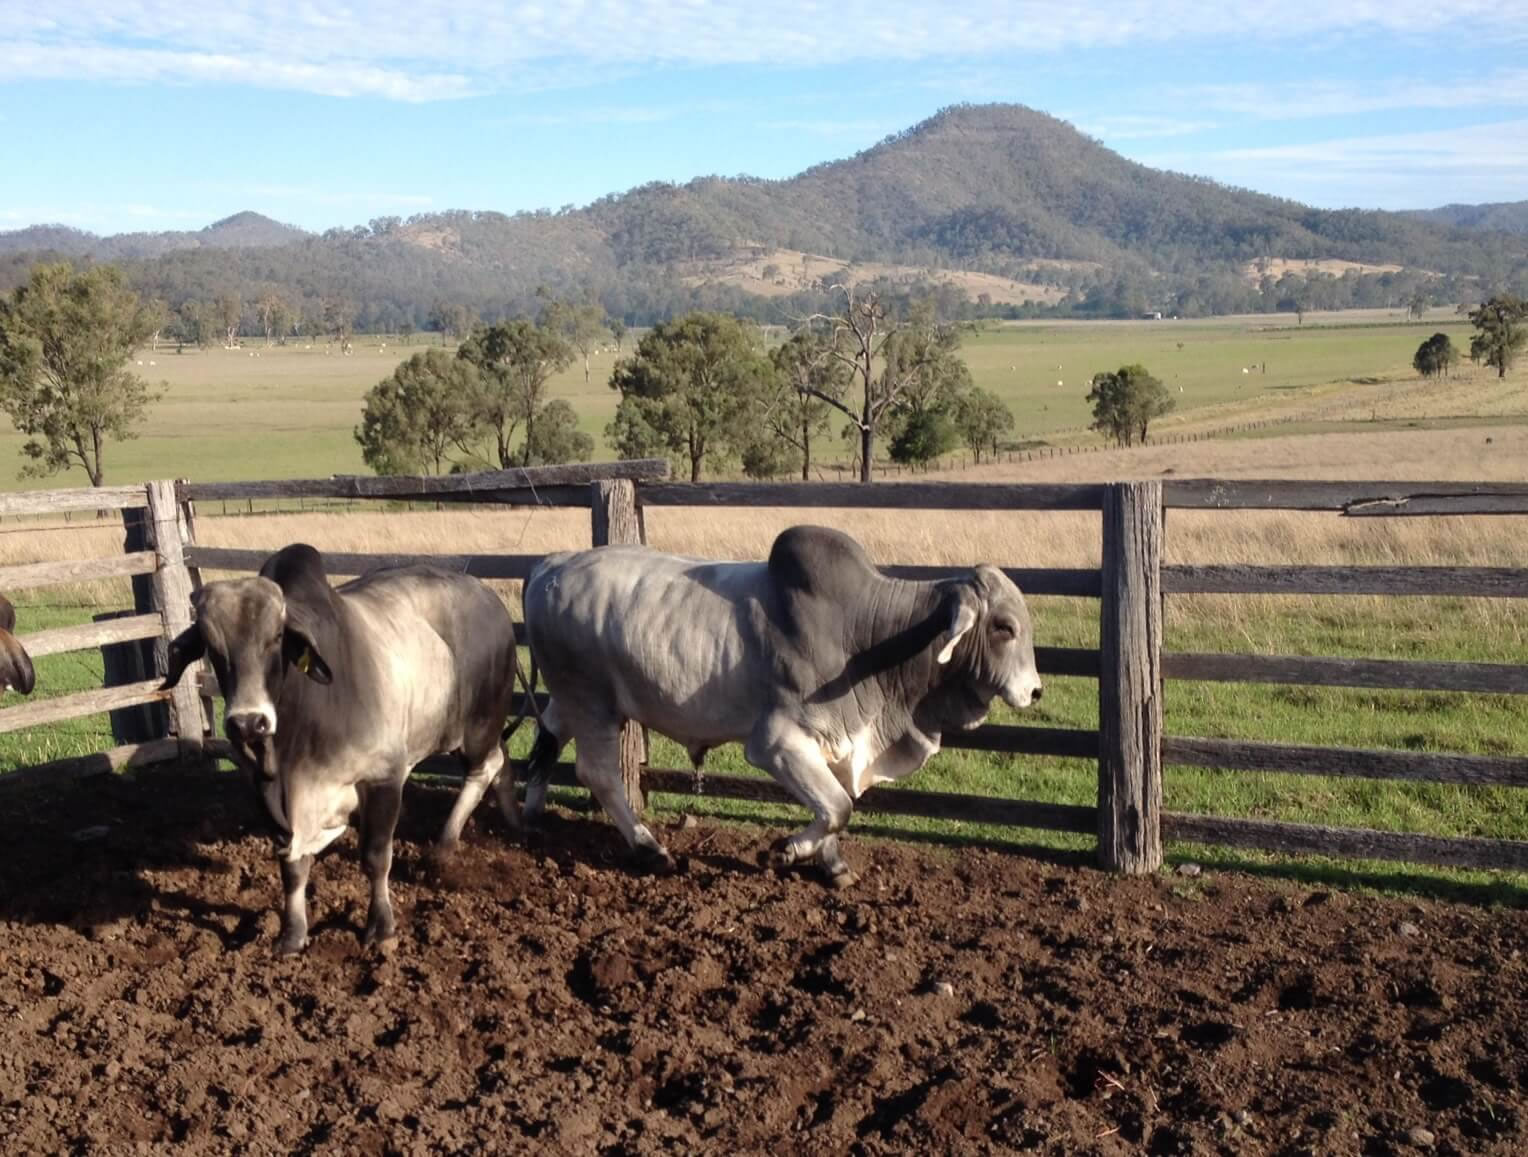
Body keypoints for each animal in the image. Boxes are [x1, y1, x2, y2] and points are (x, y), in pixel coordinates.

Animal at [161, 544, 520, 954]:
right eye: (210, 645)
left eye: (276, 638)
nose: (249, 723)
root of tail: (487, 595)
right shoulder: (270, 798)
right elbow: (293, 868)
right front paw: (292, 933)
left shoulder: (383, 778)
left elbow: (376, 858)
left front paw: (381, 928)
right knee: (503, 759)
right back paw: (513, 820)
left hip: (476, 728)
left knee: (487, 766)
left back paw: (444, 847)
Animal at [518, 524, 1041, 887]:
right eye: (1003, 627)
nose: (1035, 691)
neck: (870, 637)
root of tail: (551, 566)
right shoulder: (776, 743)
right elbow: (837, 806)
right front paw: (785, 851)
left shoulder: (838, 743)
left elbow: (837, 803)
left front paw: (831, 865)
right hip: (593, 701)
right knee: (598, 773)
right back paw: (651, 850)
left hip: (572, 700)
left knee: (546, 741)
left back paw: (530, 817)